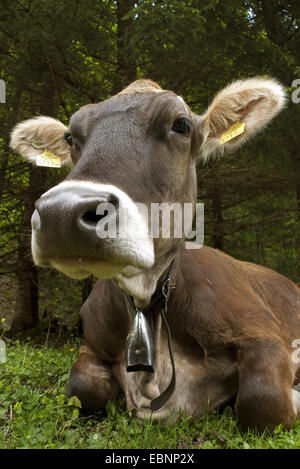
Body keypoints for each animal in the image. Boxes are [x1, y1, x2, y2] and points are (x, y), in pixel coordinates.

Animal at [9, 77, 300, 432]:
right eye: (69, 136)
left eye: (181, 124)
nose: (61, 214)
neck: (145, 302)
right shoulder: (91, 343)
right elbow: (81, 388)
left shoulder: (263, 332)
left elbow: (263, 400)